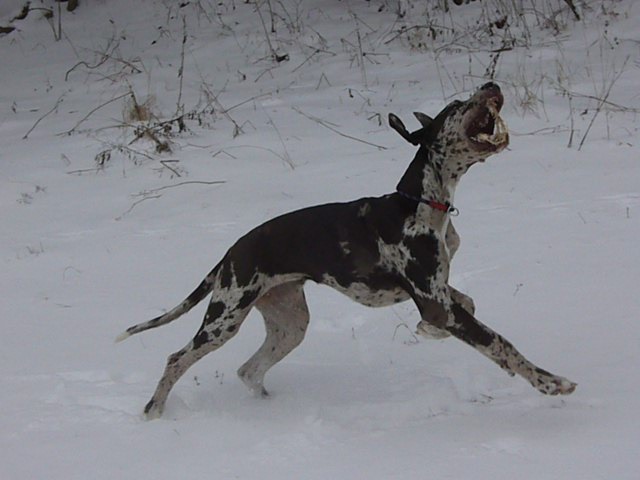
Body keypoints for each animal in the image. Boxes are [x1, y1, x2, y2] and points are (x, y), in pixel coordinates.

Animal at [117, 83, 576, 420]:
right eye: (457, 104)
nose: (491, 83)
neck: (421, 202)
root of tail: (231, 251)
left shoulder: (440, 297)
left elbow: (467, 302)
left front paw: (427, 333)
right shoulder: (436, 302)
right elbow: (502, 345)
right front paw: (550, 383)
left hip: (289, 324)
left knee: (249, 370)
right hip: (225, 317)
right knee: (177, 358)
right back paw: (154, 411)